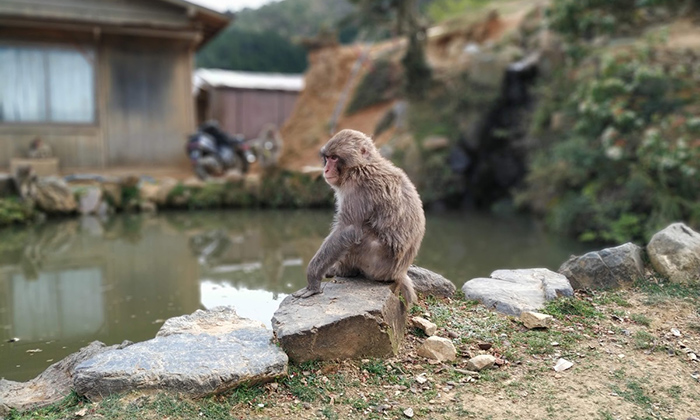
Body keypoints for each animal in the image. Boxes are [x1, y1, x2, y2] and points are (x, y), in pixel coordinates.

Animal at [292, 128, 424, 306]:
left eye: (334, 158)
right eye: (327, 158)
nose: (326, 169)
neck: (360, 166)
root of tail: (398, 273)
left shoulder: (356, 188)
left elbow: (347, 230)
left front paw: (312, 278)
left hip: (376, 263)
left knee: (358, 234)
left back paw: (344, 270)